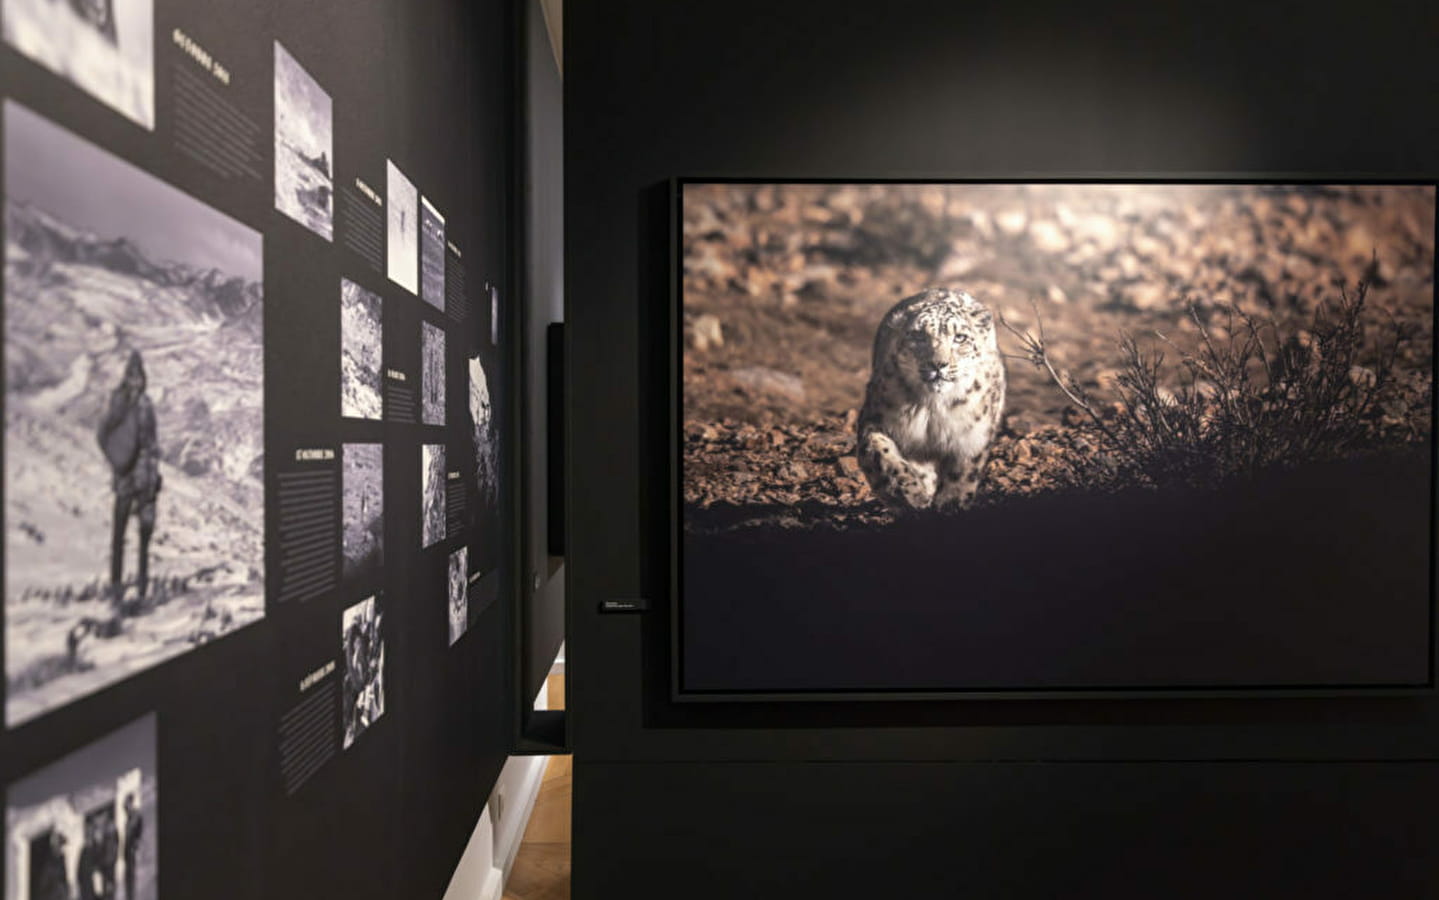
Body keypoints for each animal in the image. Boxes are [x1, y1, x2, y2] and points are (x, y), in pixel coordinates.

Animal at [857, 288, 1007, 512]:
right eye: (919, 335)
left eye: (960, 337)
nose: (938, 364)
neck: (933, 407)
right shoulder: (874, 418)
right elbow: (881, 452)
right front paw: (910, 494)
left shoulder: (972, 437)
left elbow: (963, 473)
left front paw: (950, 505)